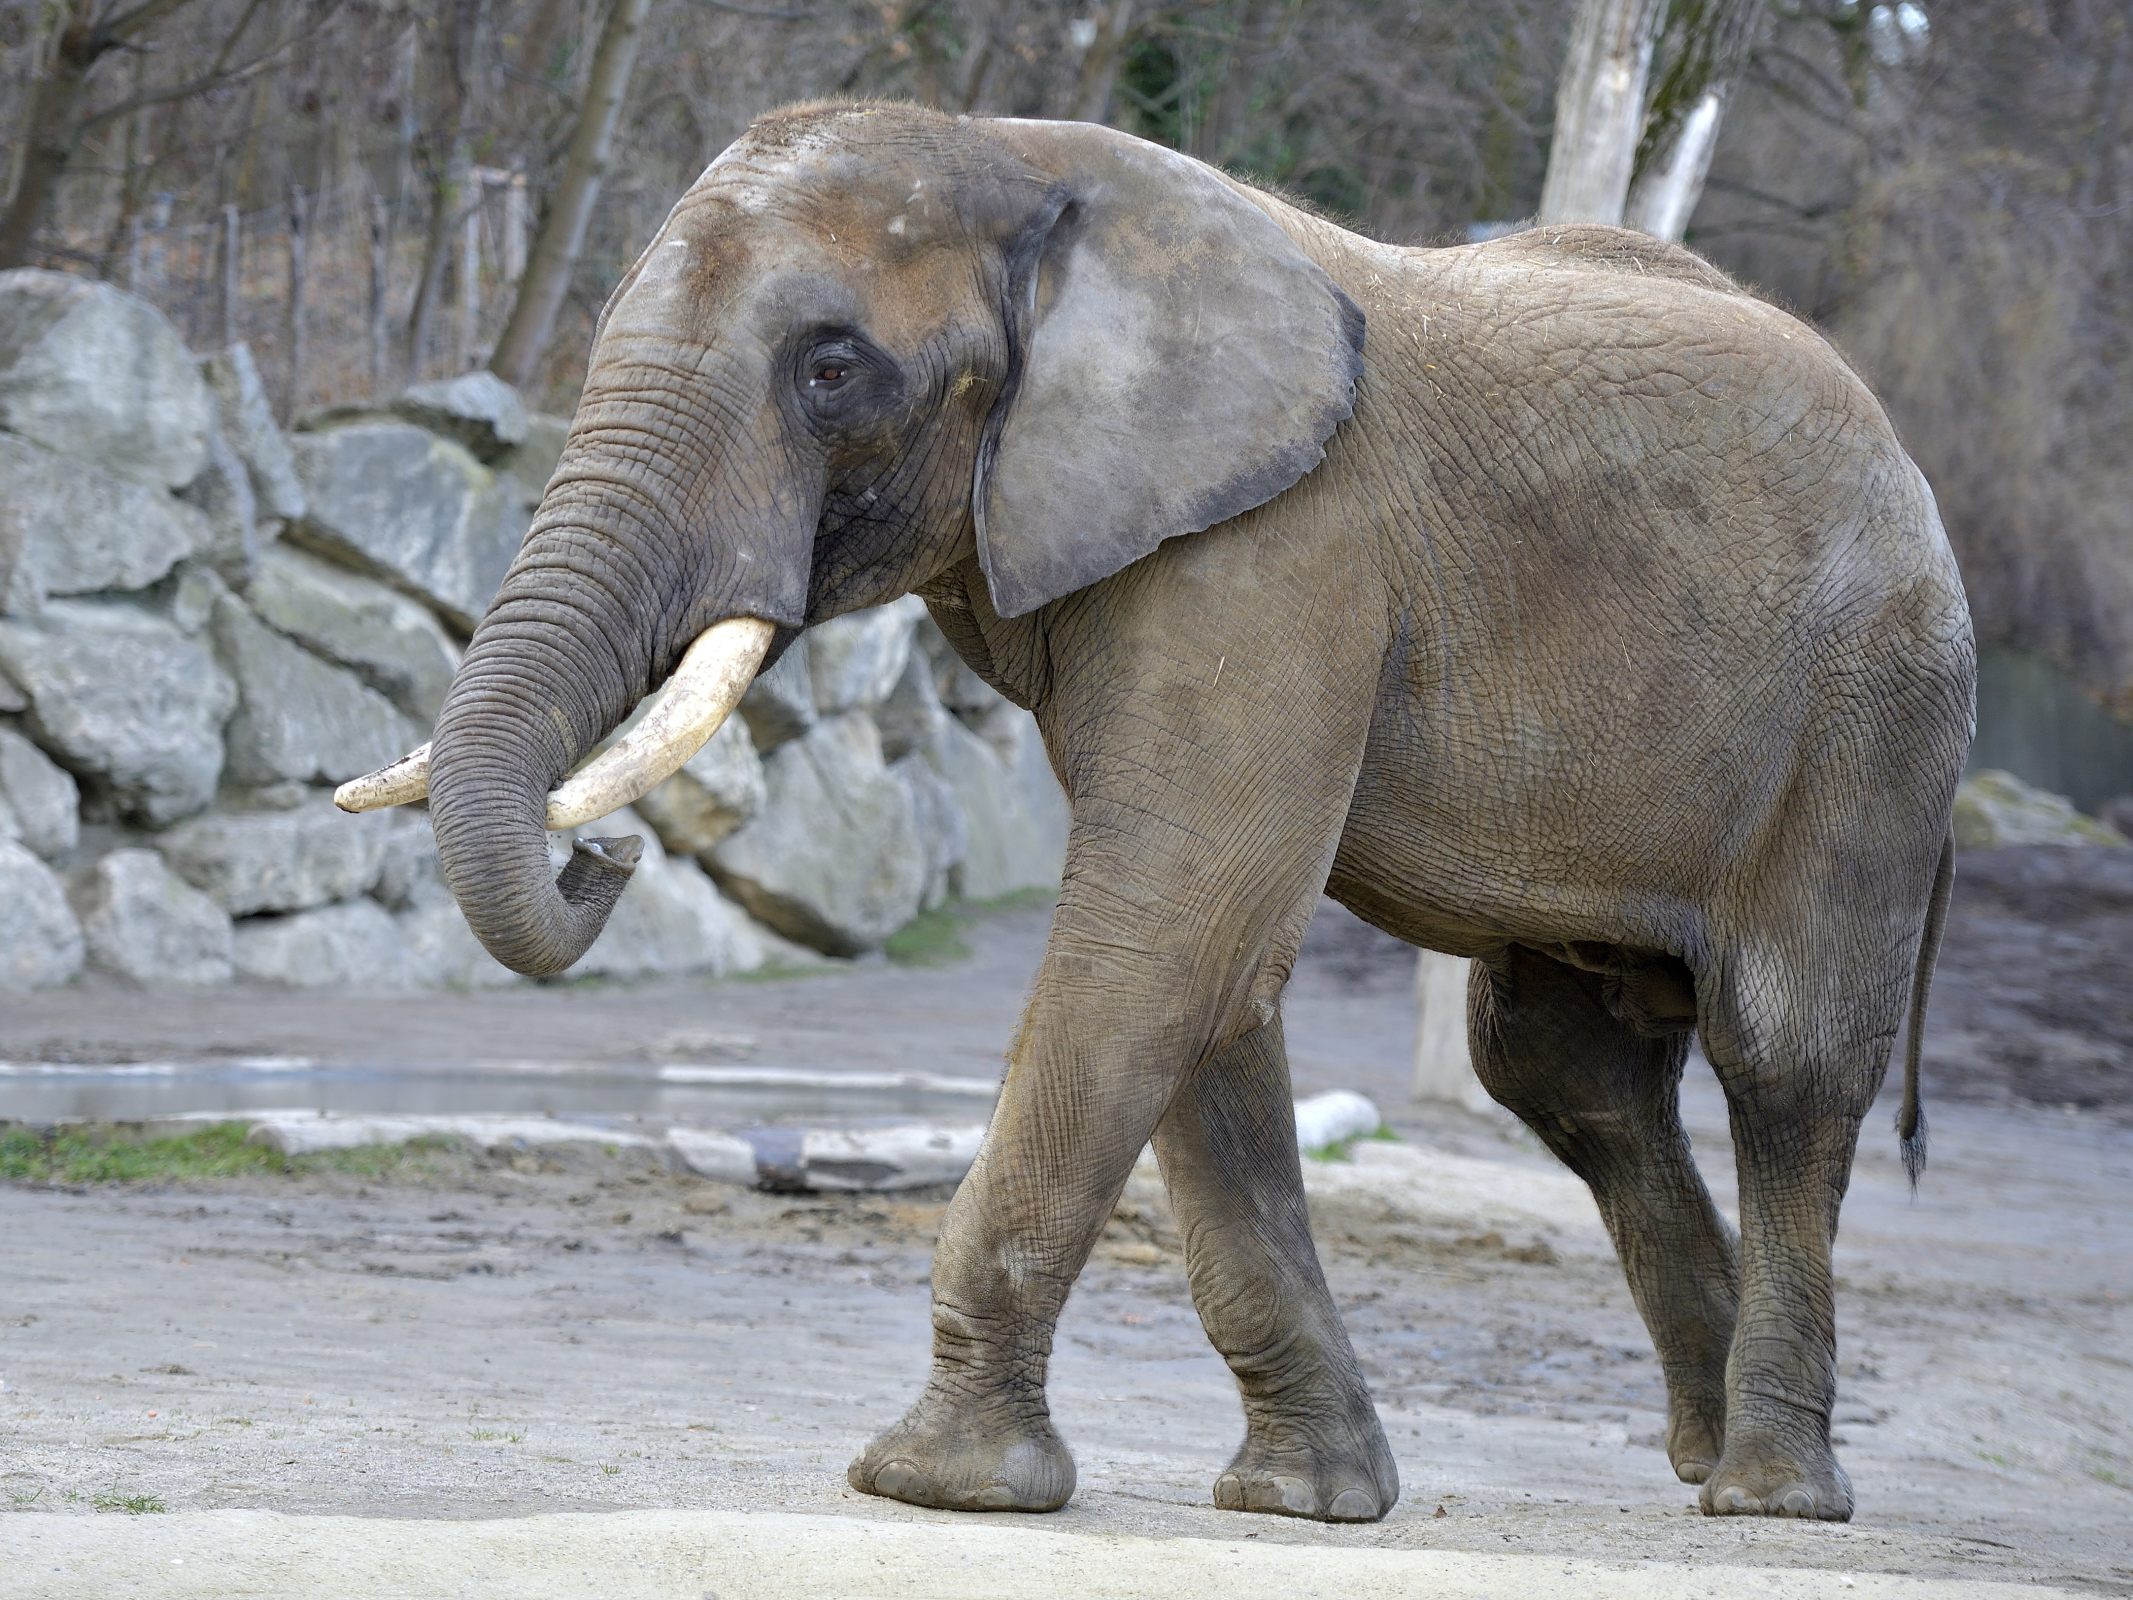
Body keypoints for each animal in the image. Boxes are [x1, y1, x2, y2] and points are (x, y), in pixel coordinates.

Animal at [337, 100, 1979, 1527]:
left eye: (830, 370)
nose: (604, 851)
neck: (1021, 161)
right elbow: (1207, 974)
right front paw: (1305, 1502)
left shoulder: (1280, 549)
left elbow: (1163, 929)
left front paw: (937, 1484)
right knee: (1565, 1072)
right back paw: (1706, 1457)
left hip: (1874, 713)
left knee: (1784, 1061)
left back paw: (1770, 1492)